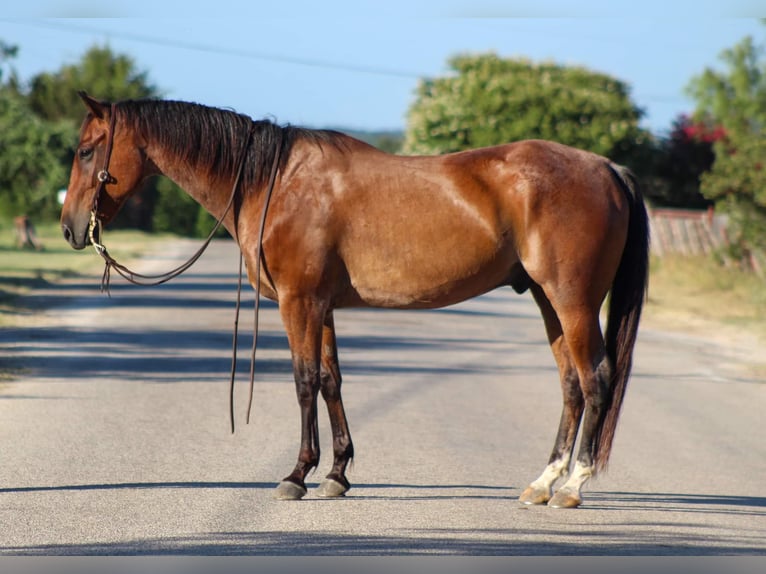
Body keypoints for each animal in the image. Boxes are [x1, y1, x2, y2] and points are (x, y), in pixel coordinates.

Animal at [61, 92, 649, 509]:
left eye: (87, 150)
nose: (69, 228)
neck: (275, 182)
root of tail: (606, 169)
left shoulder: (298, 302)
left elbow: (303, 382)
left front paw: (296, 475)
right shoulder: (321, 305)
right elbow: (330, 380)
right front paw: (337, 473)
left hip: (573, 302)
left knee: (595, 380)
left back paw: (572, 487)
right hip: (550, 303)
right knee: (571, 385)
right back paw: (542, 483)